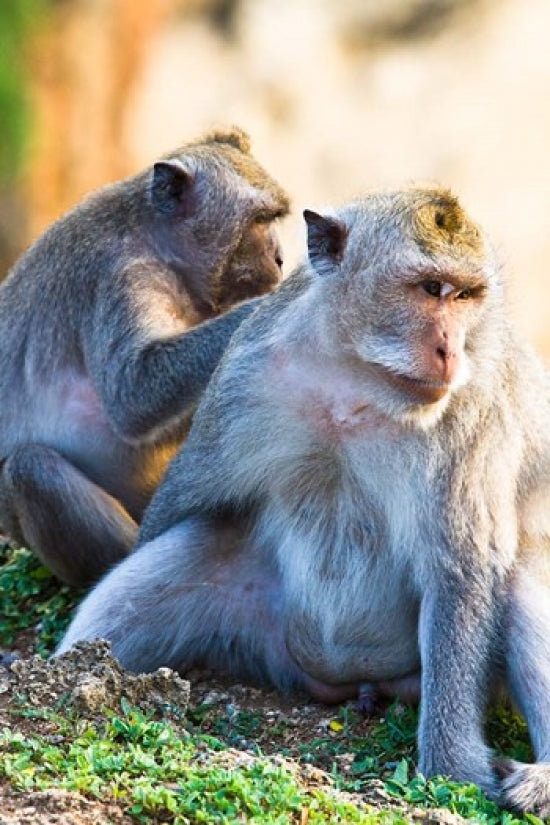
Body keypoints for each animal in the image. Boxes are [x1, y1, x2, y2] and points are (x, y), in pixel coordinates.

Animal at [0, 127, 289, 587]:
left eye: (273, 218)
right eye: (260, 221)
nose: (280, 258)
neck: (156, 243)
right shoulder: (123, 275)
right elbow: (134, 393)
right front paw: (267, 308)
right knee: (30, 468)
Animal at [58, 185, 550, 815]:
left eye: (466, 296)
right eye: (430, 289)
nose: (450, 349)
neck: (355, 383)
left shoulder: (472, 412)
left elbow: (462, 570)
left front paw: (454, 769)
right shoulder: (244, 376)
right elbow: (181, 504)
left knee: (516, 575)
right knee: (192, 547)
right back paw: (80, 675)